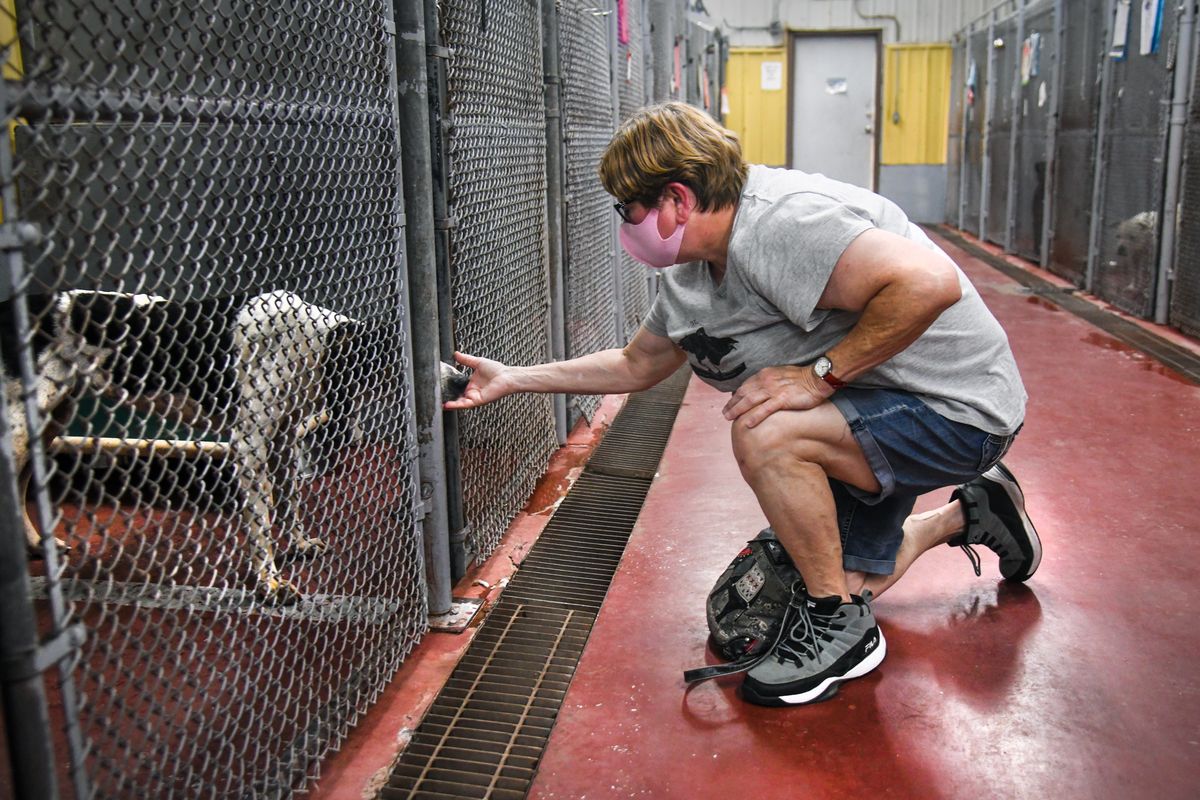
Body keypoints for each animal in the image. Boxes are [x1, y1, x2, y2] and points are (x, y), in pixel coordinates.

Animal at [1, 289, 355, 606]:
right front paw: (270, 584)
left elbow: (288, 501)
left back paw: (37, 545)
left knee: (20, 484)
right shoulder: (249, 446)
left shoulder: (282, 438)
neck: (304, 341)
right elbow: (261, 524)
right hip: (20, 427)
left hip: (50, 418)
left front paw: (300, 544)